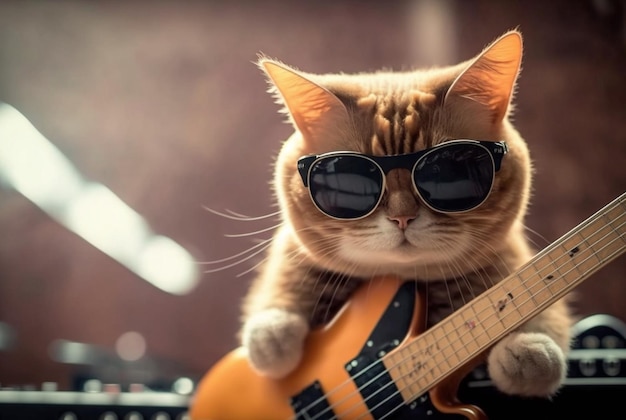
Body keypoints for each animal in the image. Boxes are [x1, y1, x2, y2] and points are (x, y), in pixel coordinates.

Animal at [238, 30, 572, 400]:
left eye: (448, 173)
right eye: (351, 180)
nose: (402, 217)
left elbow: (545, 312)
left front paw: (529, 347)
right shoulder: (290, 253)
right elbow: (281, 284)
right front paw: (272, 336)